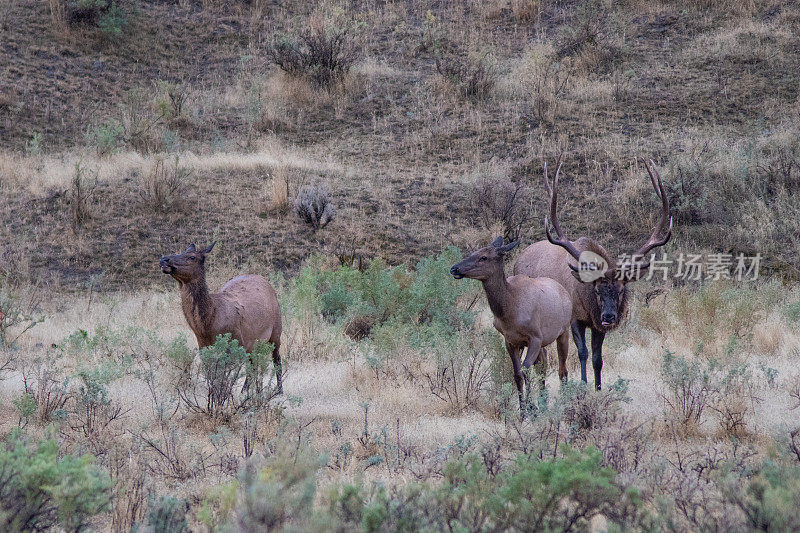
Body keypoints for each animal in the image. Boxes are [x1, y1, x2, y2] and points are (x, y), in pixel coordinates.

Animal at [160, 243, 284, 392]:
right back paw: (248, 391)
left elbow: (225, 375)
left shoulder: (233, 341)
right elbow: (211, 374)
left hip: (276, 331)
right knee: (253, 365)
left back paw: (279, 390)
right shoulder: (203, 345)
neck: (207, 325)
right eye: (184, 251)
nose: (163, 260)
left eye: (192, 257)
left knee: (276, 359)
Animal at [450, 236, 576, 412]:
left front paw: (531, 409)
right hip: (542, 343)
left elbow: (525, 370)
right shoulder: (510, 340)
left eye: (484, 257)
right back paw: (544, 402)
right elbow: (517, 374)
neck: (508, 309)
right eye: (473, 253)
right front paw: (524, 410)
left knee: (562, 369)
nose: (454, 268)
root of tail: (564, 291)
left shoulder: (535, 337)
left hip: (563, 331)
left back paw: (564, 402)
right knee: (543, 364)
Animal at [512, 160, 668, 388]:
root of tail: (517, 261)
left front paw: (598, 388)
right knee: (541, 358)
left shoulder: (597, 324)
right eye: (596, 290)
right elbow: (583, 353)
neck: (588, 305)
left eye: (621, 290)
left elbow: (597, 358)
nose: (609, 316)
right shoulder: (575, 318)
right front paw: (584, 385)